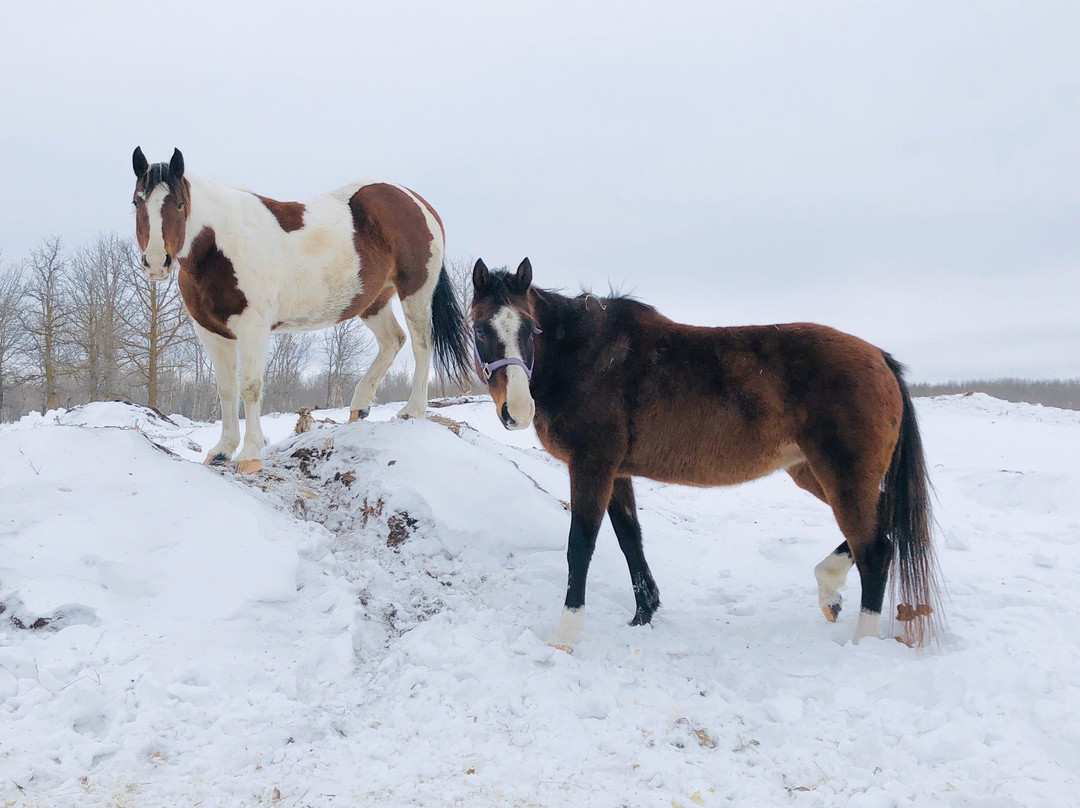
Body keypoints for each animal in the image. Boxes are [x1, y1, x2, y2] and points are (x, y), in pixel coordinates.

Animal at [130, 147, 468, 473]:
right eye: (136, 202)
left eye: (178, 204)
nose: (157, 262)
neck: (219, 245)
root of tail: (415, 200)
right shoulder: (211, 330)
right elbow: (226, 389)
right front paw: (222, 450)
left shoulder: (253, 327)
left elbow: (250, 387)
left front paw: (249, 455)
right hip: (373, 300)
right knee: (393, 340)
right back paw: (360, 404)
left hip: (416, 291)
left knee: (422, 343)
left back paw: (413, 410)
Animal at [468, 262, 941, 652]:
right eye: (481, 330)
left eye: (531, 329)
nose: (517, 411)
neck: (586, 356)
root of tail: (879, 358)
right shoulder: (616, 473)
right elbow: (629, 539)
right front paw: (643, 615)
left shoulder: (591, 466)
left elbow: (580, 547)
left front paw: (564, 637)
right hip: (814, 472)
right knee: (886, 521)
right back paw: (830, 590)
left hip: (842, 477)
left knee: (875, 549)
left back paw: (863, 640)